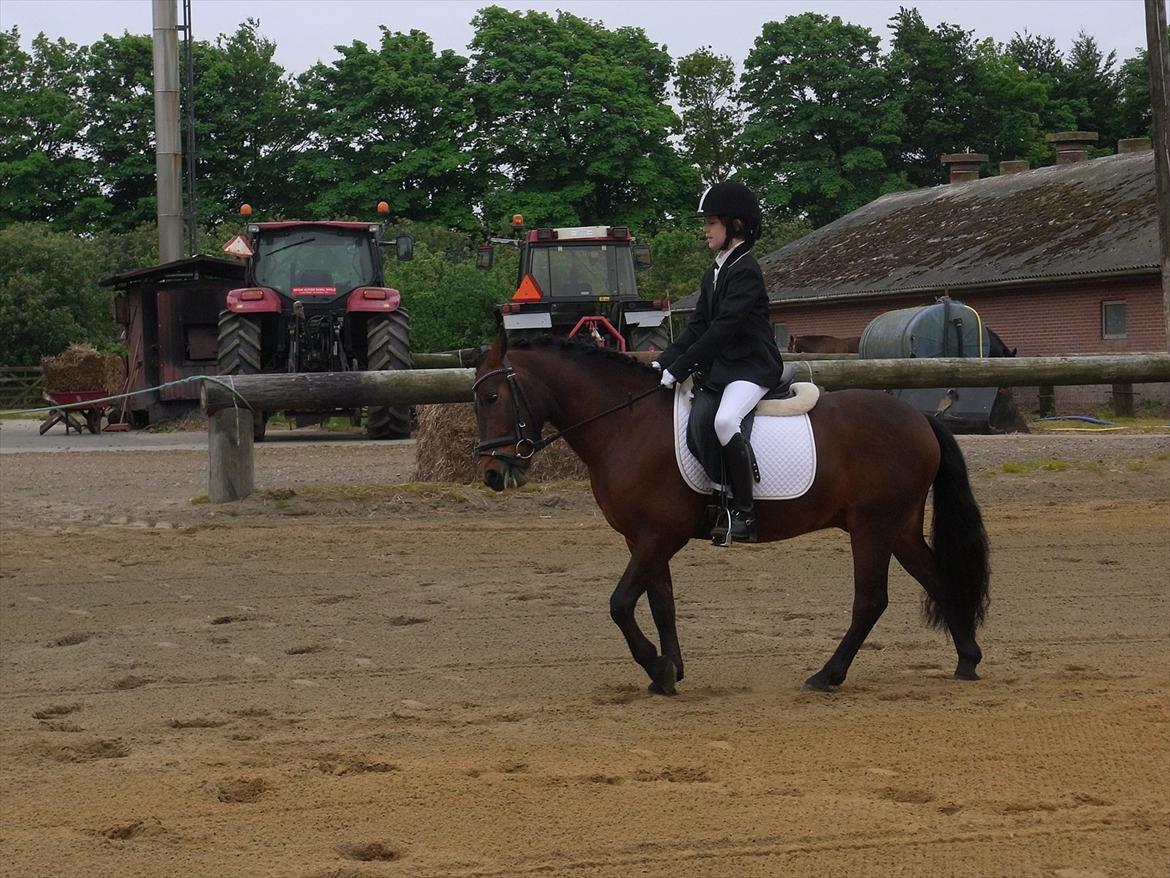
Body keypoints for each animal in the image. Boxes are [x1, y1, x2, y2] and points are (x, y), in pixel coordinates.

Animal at [470, 332, 992, 697]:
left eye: (491, 398)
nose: (493, 473)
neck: (626, 425)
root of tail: (920, 418)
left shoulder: (660, 534)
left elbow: (620, 603)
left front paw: (656, 666)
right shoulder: (643, 537)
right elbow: (661, 602)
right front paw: (668, 674)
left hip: (873, 525)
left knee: (871, 600)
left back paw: (826, 675)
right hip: (898, 526)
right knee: (937, 578)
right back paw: (967, 660)